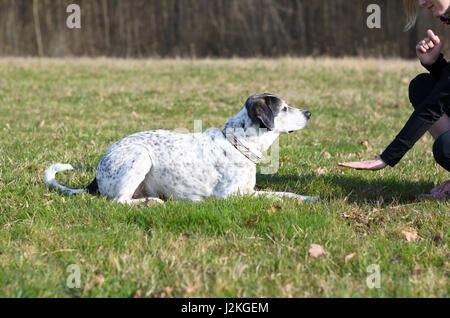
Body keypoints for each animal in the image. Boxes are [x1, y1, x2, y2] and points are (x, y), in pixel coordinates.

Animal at [44, 94, 318, 204]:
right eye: (284, 108)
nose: (309, 113)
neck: (238, 143)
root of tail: (96, 176)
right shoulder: (231, 196)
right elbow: (272, 197)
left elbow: (284, 193)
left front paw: (309, 198)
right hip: (141, 156)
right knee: (119, 201)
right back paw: (152, 203)